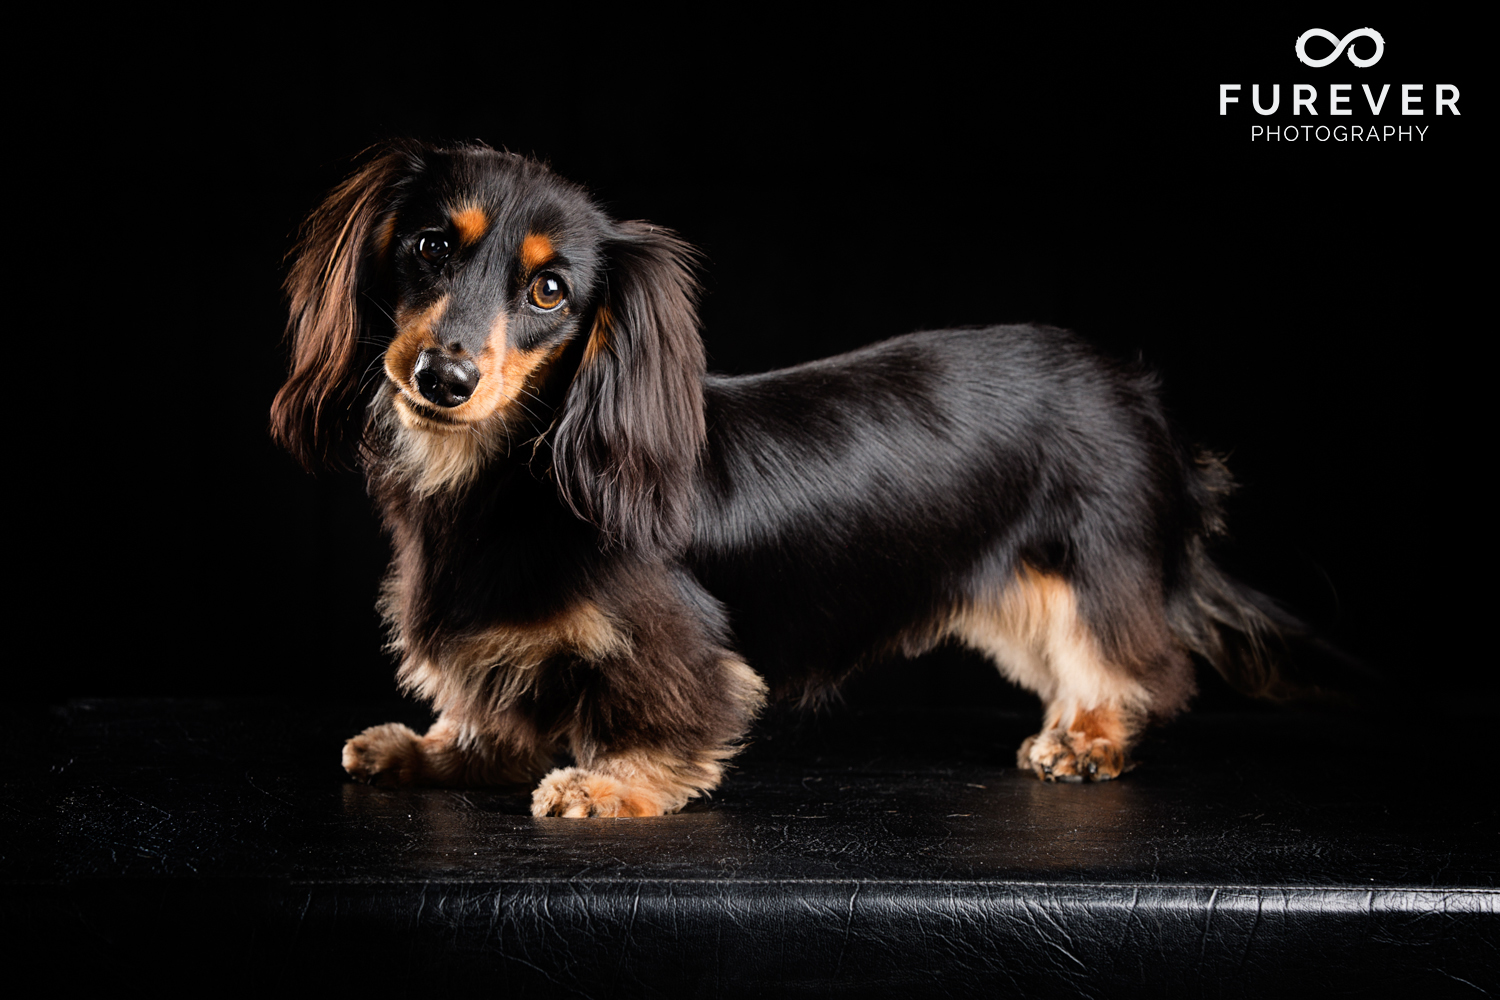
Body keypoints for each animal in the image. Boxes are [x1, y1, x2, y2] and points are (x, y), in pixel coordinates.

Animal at [270, 137, 1290, 815]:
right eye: (431, 246)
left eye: (550, 291)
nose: (441, 379)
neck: (499, 485)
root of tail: (1140, 396)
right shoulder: (501, 646)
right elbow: (492, 713)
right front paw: (428, 750)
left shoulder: (673, 645)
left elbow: (667, 717)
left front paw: (613, 786)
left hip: (1091, 569)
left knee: (1134, 662)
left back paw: (1090, 738)